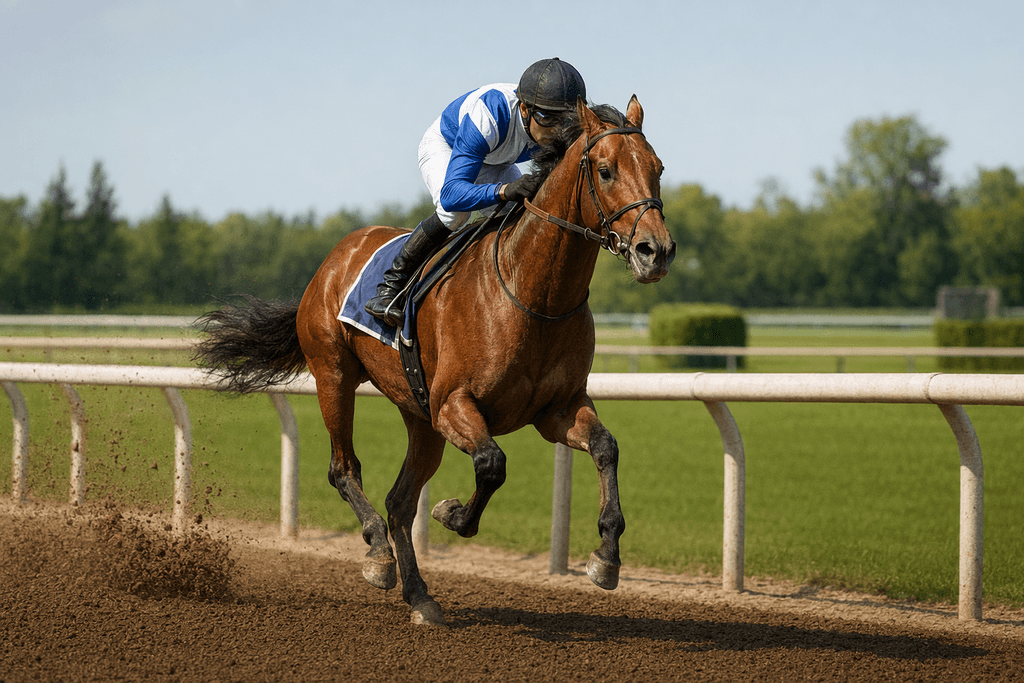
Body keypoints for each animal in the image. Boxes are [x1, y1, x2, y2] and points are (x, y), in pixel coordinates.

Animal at [195, 97, 676, 626]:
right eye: (606, 170)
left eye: (657, 168)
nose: (656, 251)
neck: (534, 295)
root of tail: (334, 257)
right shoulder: (453, 404)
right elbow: (492, 463)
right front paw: (451, 512)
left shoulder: (557, 409)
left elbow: (606, 447)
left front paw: (606, 556)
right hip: (334, 374)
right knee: (344, 469)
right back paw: (378, 554)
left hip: (418, 412)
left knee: (400, 501)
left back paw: (420, 595)